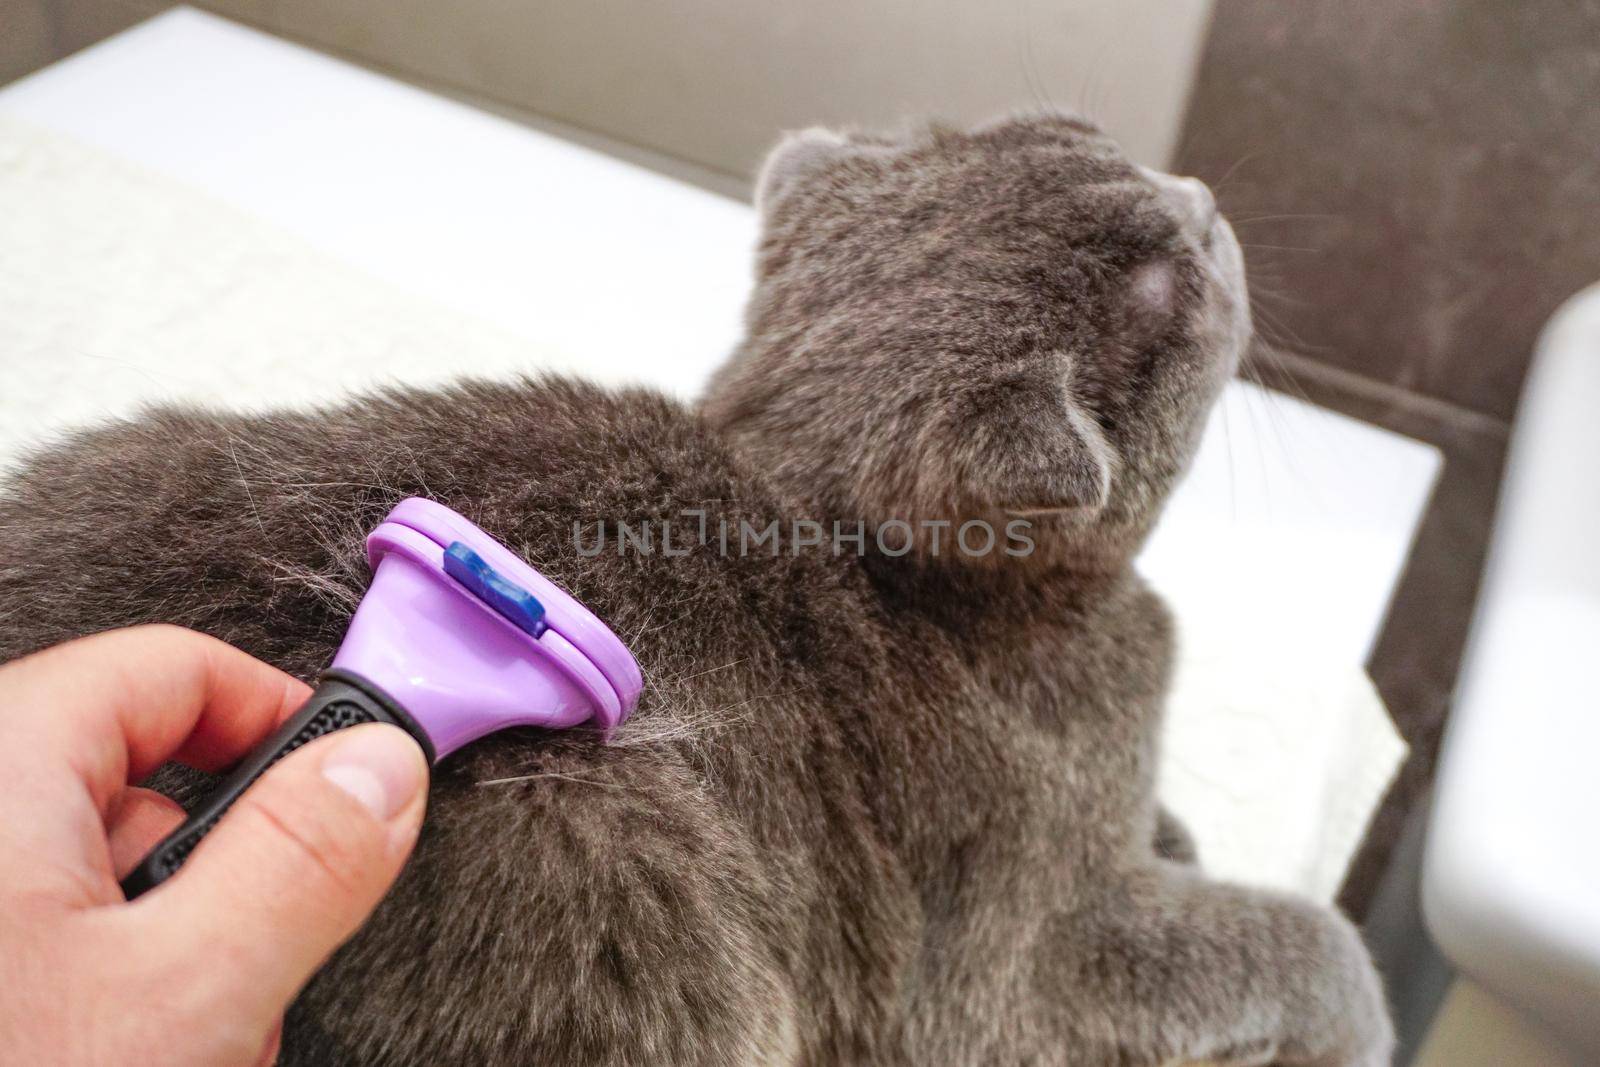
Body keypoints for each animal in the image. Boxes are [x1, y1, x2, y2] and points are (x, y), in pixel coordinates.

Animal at [0, 119, 1388, 1067]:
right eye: (1174, 276)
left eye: (1092, 139)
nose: (1204, 200)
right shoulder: (1017, 962)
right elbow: (1286, 940)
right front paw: (1358, 1011)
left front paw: (1177, 830)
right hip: (595, 841)